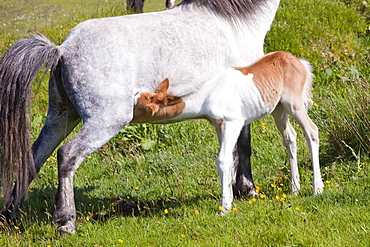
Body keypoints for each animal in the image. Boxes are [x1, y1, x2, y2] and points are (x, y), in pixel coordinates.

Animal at [0, 0, 278, 233]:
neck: (234, 23)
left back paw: (10, 217)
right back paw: (66, 222)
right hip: (105, 121)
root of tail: (63, 49)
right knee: (66, 156)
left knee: (34, 157)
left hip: (61, 118)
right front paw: (247, 189)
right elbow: (244, 146)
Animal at [132, 51, 324, 213]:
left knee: (311, 131)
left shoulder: (233, 123)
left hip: (294, 104)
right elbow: (230, 159)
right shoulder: (218, 125)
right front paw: (230, 199)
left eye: (137, 105)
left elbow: (222, 160)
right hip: (278, 108)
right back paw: (295, 189)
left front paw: (224, 207)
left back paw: (317, 189)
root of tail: (298, 61)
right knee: (290, 138)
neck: (206, 97)